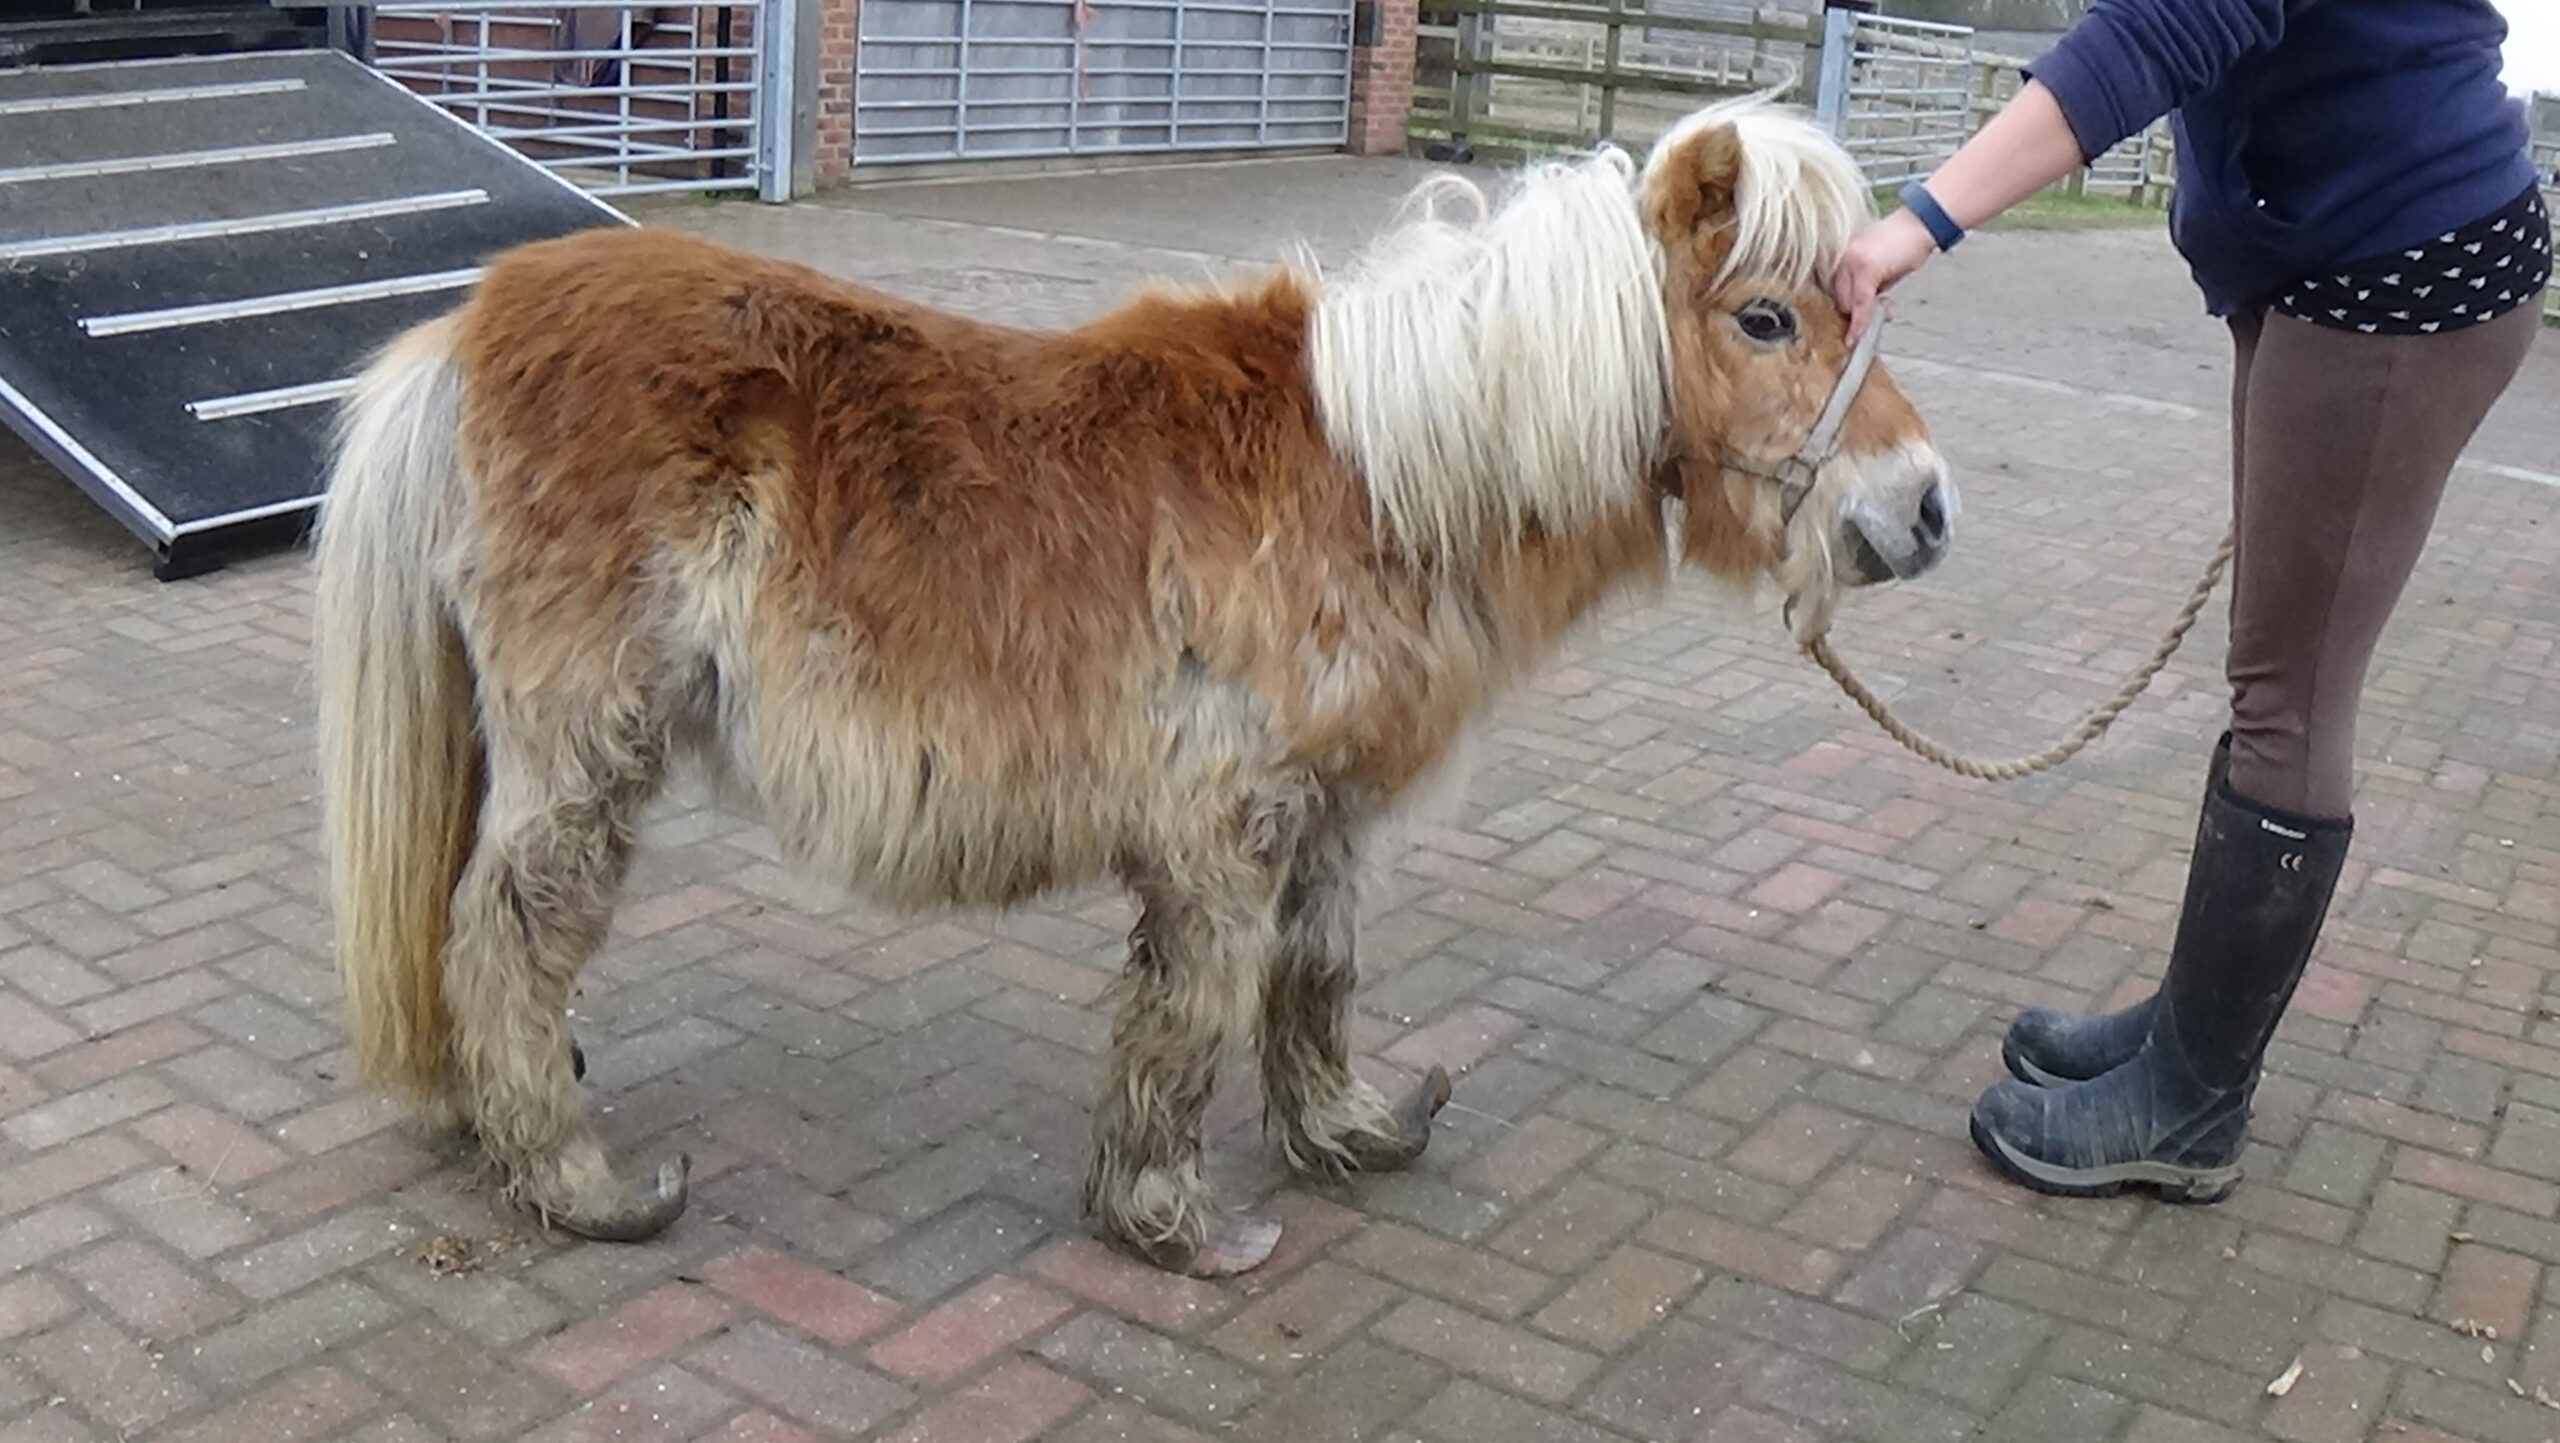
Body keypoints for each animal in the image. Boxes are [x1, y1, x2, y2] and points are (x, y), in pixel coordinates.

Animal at [312, 93, 1958, 1277]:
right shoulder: (1222, 826)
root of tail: (467, 328)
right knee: (508, 932)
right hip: (588, 743)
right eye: (1763, 318)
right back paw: (576, 1180)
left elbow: (1316, 971)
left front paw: (1346, 1130)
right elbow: (1196, 1004)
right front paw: (1171, 1221)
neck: (1382, 469)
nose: (1925, 510)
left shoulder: (1326, 814)